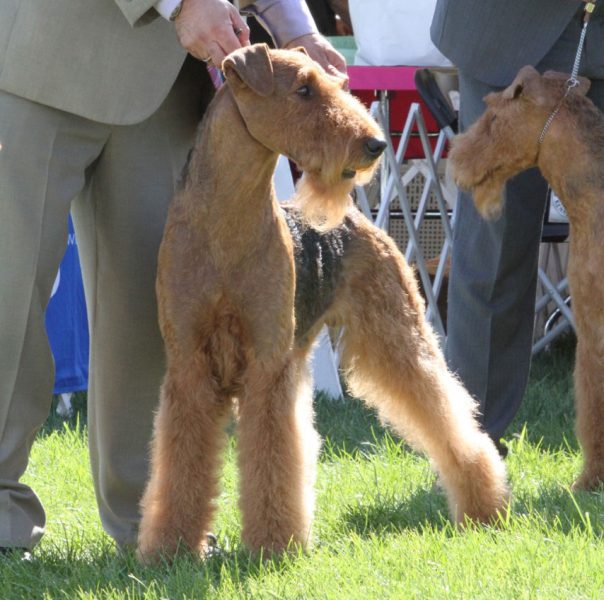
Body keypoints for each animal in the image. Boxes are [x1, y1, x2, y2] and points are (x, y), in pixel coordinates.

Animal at [137, 43, 510, 564]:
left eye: (332, 85)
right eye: (303, 89)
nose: (375, 144)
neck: (226, 225)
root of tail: (352, 213)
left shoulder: (267, 366)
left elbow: (273, 462)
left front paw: (274, 544)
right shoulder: (190, 367)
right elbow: (180, 465)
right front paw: (169, 546)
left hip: (398, 334)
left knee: (449, 416)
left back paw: (484, 507)